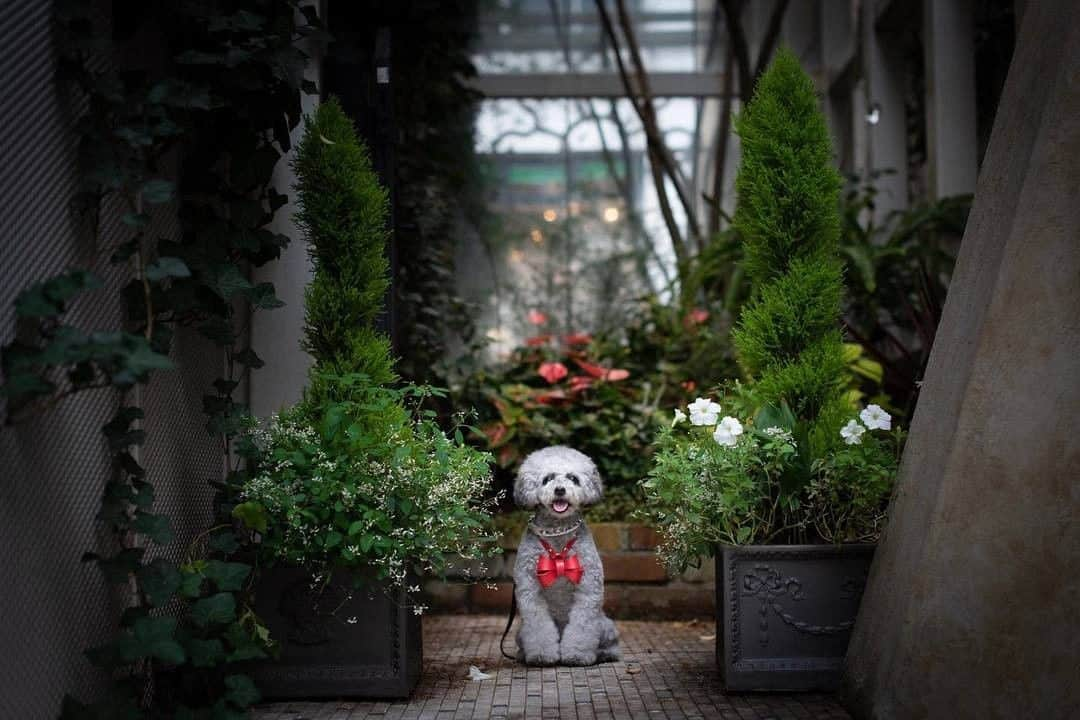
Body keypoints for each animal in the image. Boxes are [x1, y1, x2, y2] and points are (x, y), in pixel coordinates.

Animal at [509, 446, 622, 669]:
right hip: (520, 632)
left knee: (609, 643)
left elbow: (582, 626)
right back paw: (522, 655)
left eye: (573, 478)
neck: (558, 533)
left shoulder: (588, 590)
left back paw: (605, 654)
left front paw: (577, 655)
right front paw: (541, 655)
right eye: (548, 478)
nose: (560, 490)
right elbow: (538, 626)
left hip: (605, 625)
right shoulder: (529, 591)